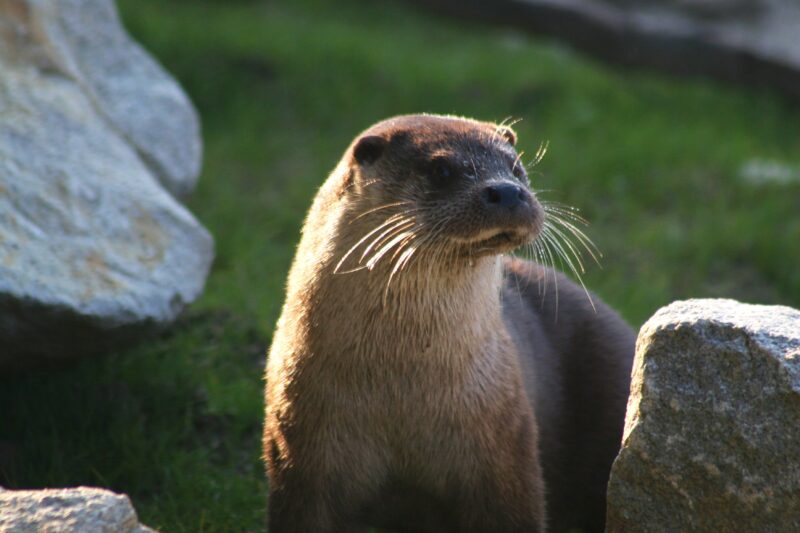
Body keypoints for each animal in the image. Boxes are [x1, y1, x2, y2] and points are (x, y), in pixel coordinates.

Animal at [266, 114, 636, 528]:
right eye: (441, 170)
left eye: (516, 168)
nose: (508, 192)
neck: (401, 386)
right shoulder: (302, 456)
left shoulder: (506, 446)